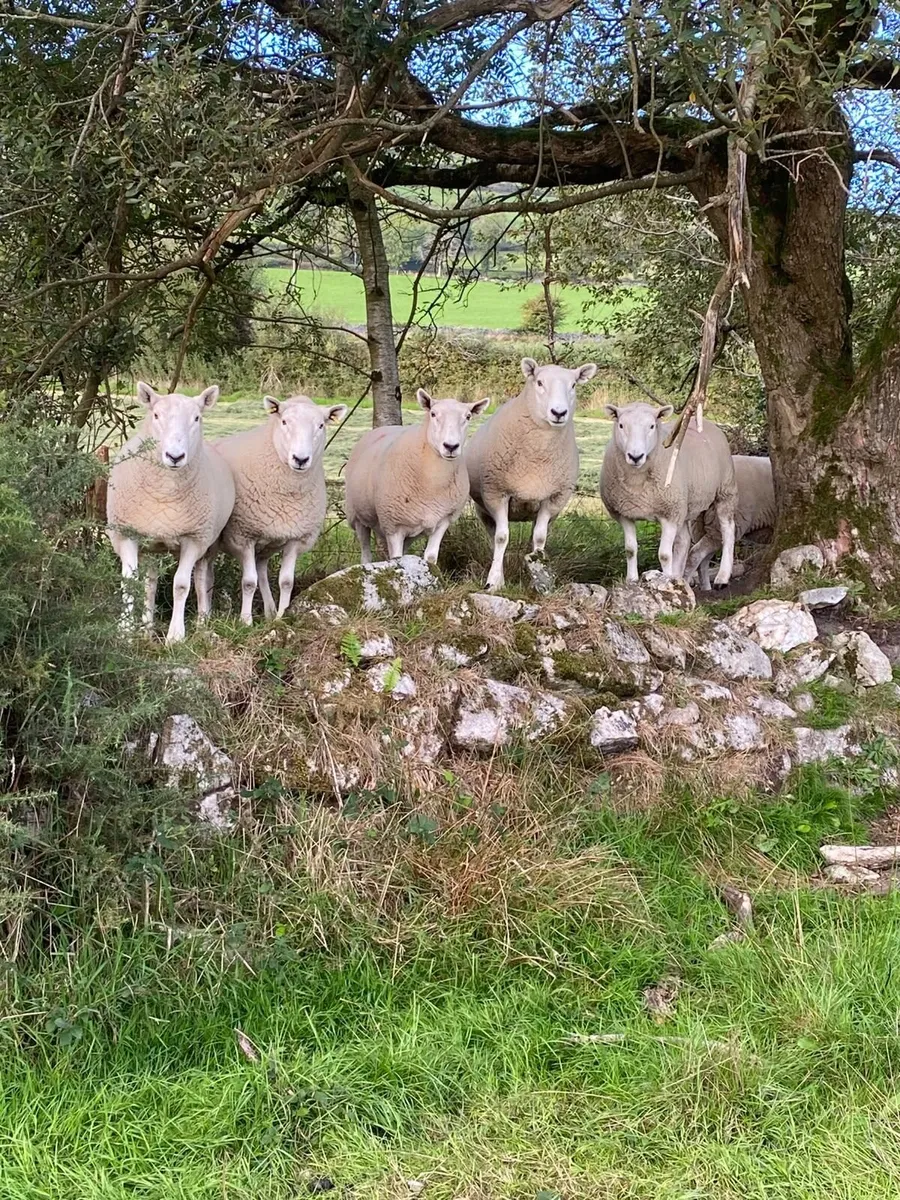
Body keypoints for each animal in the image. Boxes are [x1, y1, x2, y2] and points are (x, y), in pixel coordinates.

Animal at [106, 382, 235, 643]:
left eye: (197, 418)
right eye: (156, 415)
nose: (175, 456)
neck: (164, 493)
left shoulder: (193, 538)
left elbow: (181, 585)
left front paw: (175, 636)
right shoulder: (127, 533)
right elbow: (130, 582)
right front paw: (125, 632)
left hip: (210, 541)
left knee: (203, 578)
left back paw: (202, 624)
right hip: (152, 545)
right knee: (150, 581)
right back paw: (147, 628)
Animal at [209, 394, 348, 624]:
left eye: (321, 425)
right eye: (284, 422)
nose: (300, 459)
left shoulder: (295, 537)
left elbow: (286, 581)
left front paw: (282, 616)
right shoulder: (243, 536)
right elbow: (249, 582)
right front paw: (245, 621)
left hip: (267, 542)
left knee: (261, 569)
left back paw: (270, 611)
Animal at [345, 389, 489, 565]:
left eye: (468, 416)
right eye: (433, 414)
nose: (451, 446)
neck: (433, 484)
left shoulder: (443, 521)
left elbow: (430, 558)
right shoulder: (393, 526)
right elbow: (396, 559)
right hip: (357, 516)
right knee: (365, 553)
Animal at [464, 358, 598, 590]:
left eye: (573, 385)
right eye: (540, 382)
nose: (559, 413)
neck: (538, 455)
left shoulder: (552, 499)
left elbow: (539, 541)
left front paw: (538, 577)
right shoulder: (497, 494)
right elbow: (502, 538)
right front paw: (494, 582)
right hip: (484, 509)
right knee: (493, 536)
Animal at [599, 402, 738, 586]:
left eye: (652, 426)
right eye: (621, 425)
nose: (635, 456)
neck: (637, 484)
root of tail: (701, 421)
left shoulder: (670, 514)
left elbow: (664, 555)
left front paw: (665, 581)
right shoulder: (624, 513)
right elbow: (630, 550)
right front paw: (632, 580)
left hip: (725, 489)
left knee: (728, 529)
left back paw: (722, 576)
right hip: (685, 504)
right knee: (684, 541)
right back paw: (678, 576)